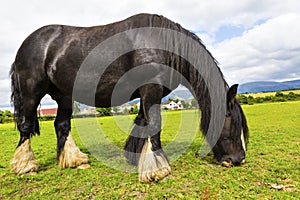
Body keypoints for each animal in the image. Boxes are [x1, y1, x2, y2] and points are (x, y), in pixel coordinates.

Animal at [9, 13, 248, 183]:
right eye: (233, 124)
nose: (238, 159)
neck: (161, 42)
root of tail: (27, 43)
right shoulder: (151, 89)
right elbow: (154, 125)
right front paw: (159, 170)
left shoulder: (148, 93)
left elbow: (143, 123)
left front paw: (138, 159)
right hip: (31, 93)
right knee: (25, 126)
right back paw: (26, 167)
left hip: (64, 97)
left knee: (61, 125)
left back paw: (74, 160)